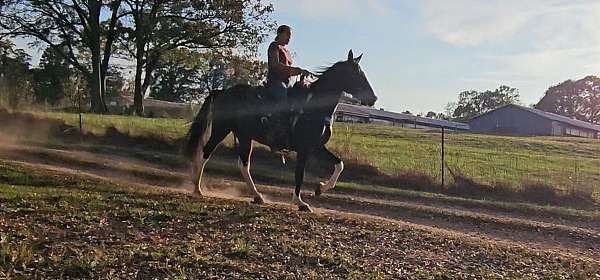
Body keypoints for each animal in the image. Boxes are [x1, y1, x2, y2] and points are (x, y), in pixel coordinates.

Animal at [185, 49, 378, 212]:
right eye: (356, 74)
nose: (373, 98)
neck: (314, 106)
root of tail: (222, 92)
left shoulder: (316, 147)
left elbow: (339, 164)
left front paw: (320, 188)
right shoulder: (304, 149)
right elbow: (299, 174)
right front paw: (300, 202)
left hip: (244, 136)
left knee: (243, 164)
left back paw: (257, 196)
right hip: (221, 129)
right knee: (206, 153)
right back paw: (197, 187)